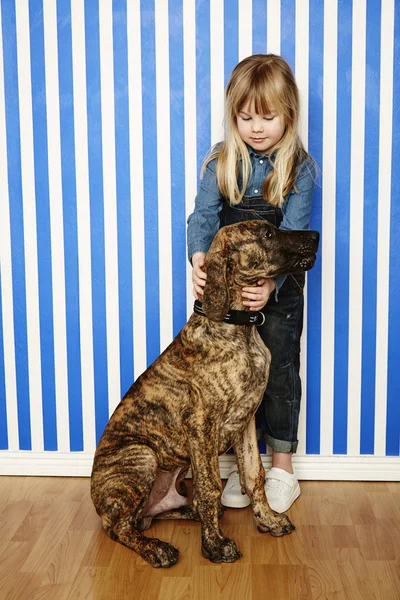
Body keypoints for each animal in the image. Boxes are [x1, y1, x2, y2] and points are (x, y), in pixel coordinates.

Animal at [90, 220, 318, 568]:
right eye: (266, 234)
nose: (316, 236)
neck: (238, 328)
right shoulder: (201, 426)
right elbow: (210, 485)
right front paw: (216, 545)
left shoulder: (247, 419)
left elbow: (254, 474)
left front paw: (268, 520)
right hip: (142, 456)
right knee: (120, 528)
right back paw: (156, 548)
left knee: (148, 516)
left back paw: (194, 513)